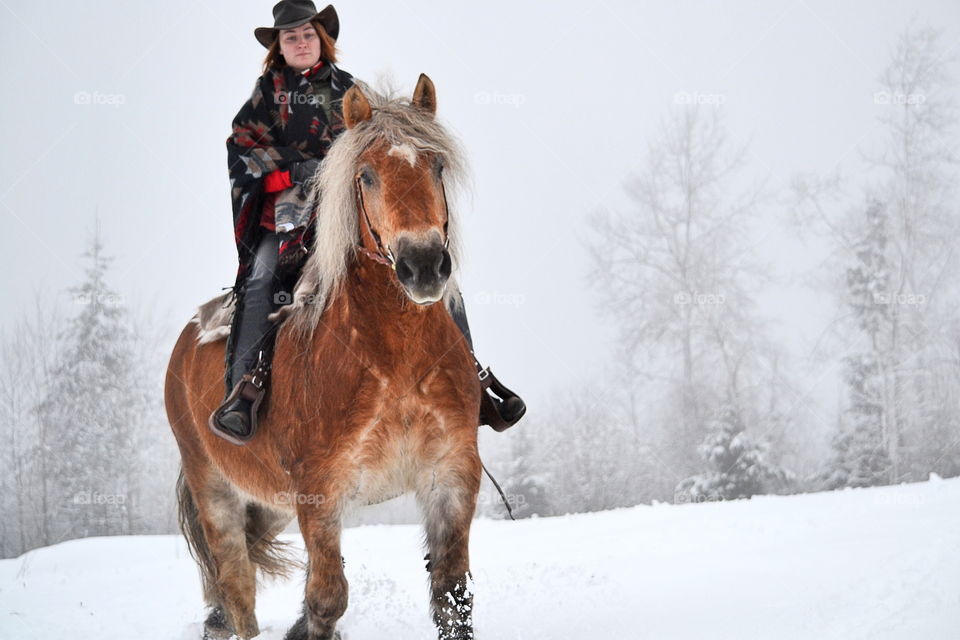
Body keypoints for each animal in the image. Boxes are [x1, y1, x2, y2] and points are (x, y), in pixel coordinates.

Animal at [165, 74, 482, 640]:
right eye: (367, 175)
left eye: (437, 166)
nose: (423, 264)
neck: (392, 356)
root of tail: (185, 342)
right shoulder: (318, 493)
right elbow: (327, 600)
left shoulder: (452, 476)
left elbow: (453, 597)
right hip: (215, 489)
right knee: (237, 588)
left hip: (269, 498)